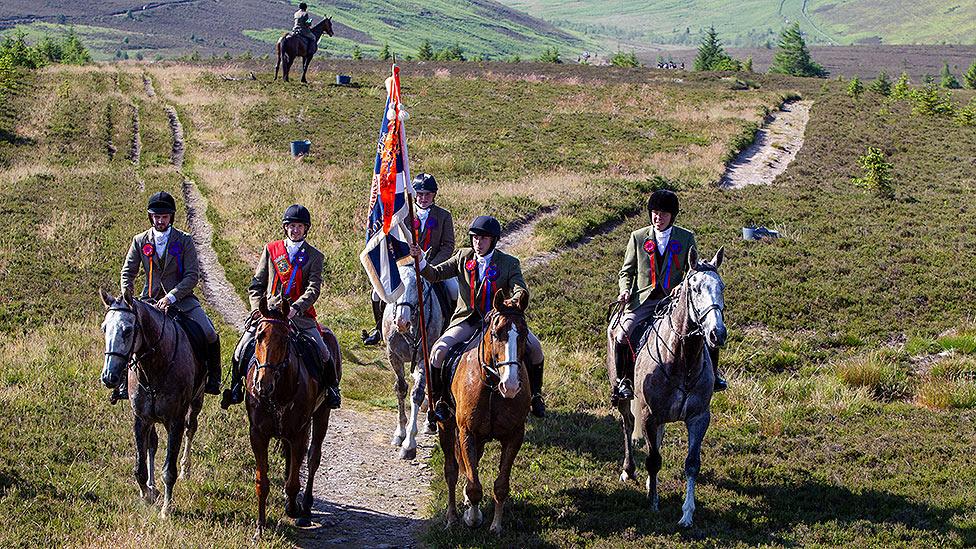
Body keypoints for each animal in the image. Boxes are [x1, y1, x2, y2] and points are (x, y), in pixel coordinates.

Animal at [99, 288, 206, 516]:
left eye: (128, 330)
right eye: (104, 328)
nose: (109, 377)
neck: (155, 367)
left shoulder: (174, 422)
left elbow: (169, 470)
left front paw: (166, 509)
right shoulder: (141, 419)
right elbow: (139, 466)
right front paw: (147, 494)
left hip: (197, 400)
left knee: (191, 429)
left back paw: (185, 470)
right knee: (153, 444)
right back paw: (152, 486)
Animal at [246, 296, 342, 536]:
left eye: (285, 339)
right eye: (259, 336)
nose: (263, 385)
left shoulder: (300, 432)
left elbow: (294, 480)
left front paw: (293, 508)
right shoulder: (258, 434)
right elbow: (262, 481)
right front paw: (260, 526)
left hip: (321, 414)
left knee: (313, 457)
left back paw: (305, 507)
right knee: (290, 457)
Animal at [384, 264, 448, 458]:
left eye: (418, 284)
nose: (401, 322)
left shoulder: (424, 359)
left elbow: (417, 394)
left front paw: (409, 443)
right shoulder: (393, 356)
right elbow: (401, 389)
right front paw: (400, 433)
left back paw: (430, 423)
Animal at [440, 294, 536, 532]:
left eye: (524, 333)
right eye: (496, 333)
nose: (510, 385)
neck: (492, 386)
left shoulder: (514, 436)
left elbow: (500, 485)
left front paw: (496, 526)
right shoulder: (467, 433)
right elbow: (474, 485)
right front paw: (472, 518)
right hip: (445, 425)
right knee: (451, 471)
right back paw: (452, 517)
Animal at [616, 247, 724, 528]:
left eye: (721, 287)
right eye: (695, 288)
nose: (717, 334)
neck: (682, 360)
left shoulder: (699, 417)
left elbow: (692, 464)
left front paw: (687, 513)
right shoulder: (649, 415)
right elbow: (653, 460)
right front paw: (653, 503)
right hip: (624, 400)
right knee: (628, 425)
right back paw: (629, 470)